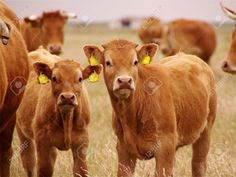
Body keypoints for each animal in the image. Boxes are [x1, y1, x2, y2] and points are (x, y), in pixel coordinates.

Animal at [16, 47, 101, 177]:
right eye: (54, 78)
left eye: (80, 79)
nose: (67, 97)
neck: (66, 118)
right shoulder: (42, 140)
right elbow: (44, 170)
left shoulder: (82, 140)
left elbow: (80, 170)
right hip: (21, 130)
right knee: (28, 160)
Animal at [84, 39, 217, 177]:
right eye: (108, 62)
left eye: (135, 62)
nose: (125, 81)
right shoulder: (123, 148)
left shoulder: (165, 147)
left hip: (206, 130)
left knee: (198, 164)